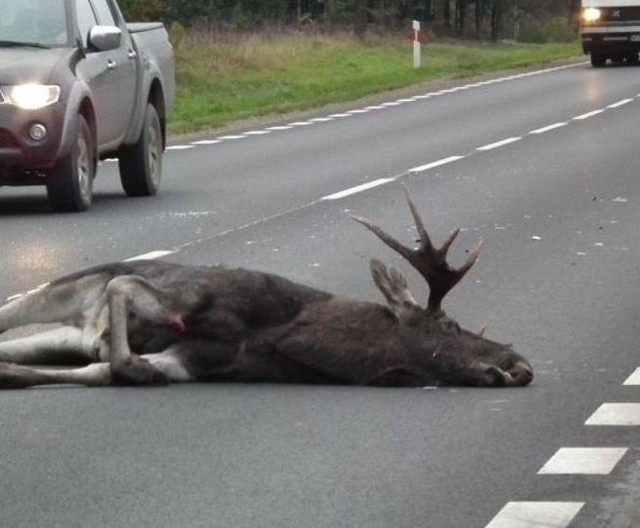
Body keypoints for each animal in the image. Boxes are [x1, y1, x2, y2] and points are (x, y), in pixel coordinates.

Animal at [0, 194, 532, 388]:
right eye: (451, 325)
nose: (520, 364)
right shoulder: (190, 294)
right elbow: (123, 285)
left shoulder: (195, 362)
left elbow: (103, 370)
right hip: (66, 288)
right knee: (19, 307)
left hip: (66, 333)